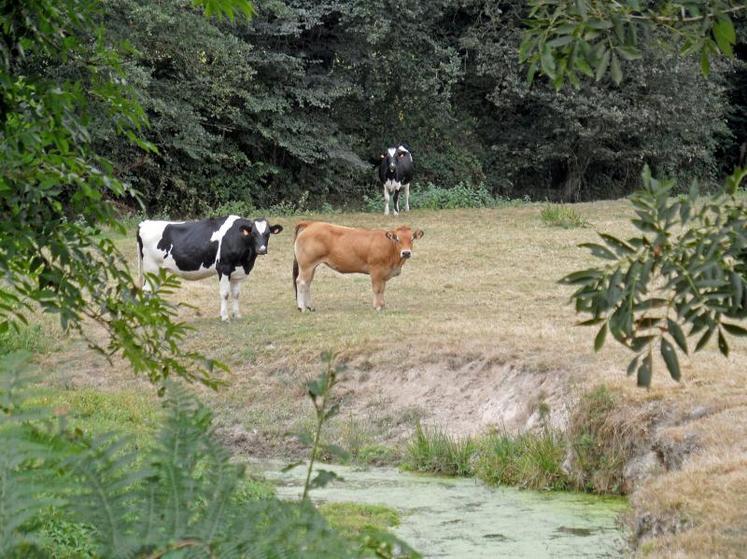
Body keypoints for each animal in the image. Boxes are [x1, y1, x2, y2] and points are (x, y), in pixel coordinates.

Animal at [137, 219, 284, 324]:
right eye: (253, 233)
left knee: (153, 291)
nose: (261, 249)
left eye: (268, 234)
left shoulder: (237, 273)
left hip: (157, 271)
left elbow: (236, 294)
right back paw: (149, 316)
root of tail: (144, 223)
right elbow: (225, 293)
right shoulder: (224, 267)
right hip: (151, 268)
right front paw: (225, 317)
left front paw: (237, 315)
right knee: (147, 291)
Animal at [292, 222, 424, 310]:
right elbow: (377, 289)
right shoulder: (376, 270)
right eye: (397, 238)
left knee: (307, 283)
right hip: (306, 265)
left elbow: (382, 289)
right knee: (301, 282)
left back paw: (310, 306)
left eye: (412, 238)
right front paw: (377, 307)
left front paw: (382, 305)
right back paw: (302, 307)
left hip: (311, 266)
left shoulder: (384, 273)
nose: (406, 253)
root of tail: (311, 224)